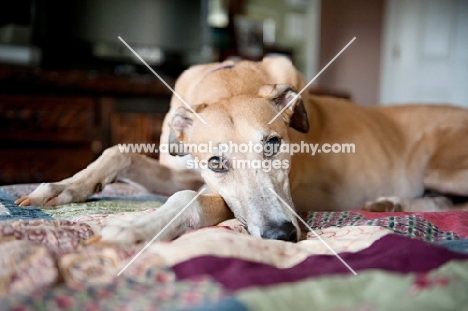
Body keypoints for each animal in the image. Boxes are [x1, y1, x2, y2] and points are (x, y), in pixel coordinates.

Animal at [14, 57, 468, 243]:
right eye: (216, 162)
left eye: (274, 145)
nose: (282, 235)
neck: (229, 84)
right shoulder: (187, 168)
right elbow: (119, 151)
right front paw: (62, 187)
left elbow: (189, 199)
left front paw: (139, 226)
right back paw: (389, 203)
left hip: (443, 166)